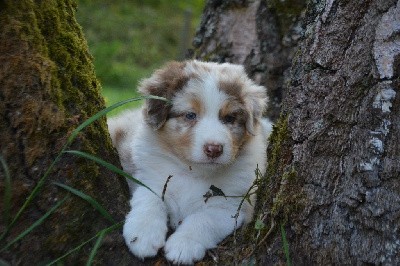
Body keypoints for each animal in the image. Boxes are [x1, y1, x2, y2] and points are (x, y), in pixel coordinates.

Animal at [108, 60, 274, 264]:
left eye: (229, 118)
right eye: (190, 115)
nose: (214, 149)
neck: (193, 172)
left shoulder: (232, 206)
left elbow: (203, 220)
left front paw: (183, 245)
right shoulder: (149, 177)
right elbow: (149, 197)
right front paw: (143, 235)